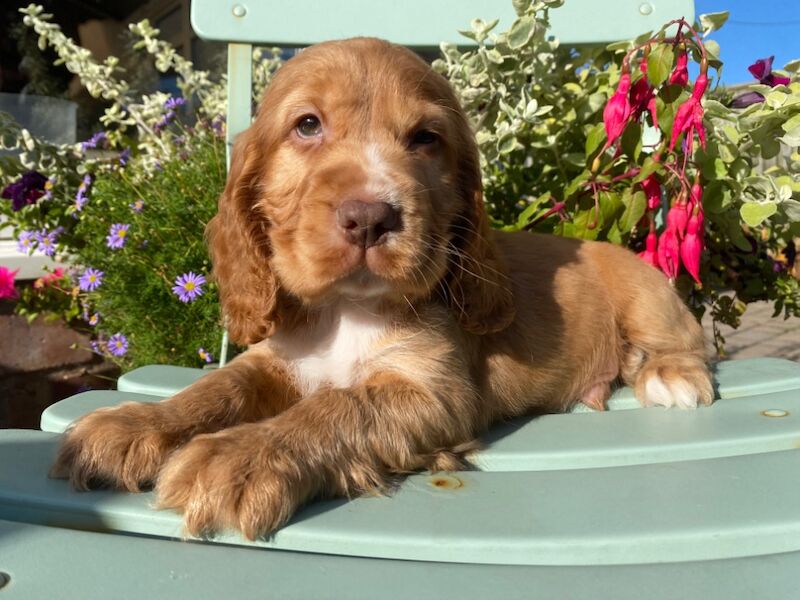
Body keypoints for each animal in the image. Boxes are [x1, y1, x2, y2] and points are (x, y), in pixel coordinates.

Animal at [51, 41, 712, 540]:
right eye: (307, 125)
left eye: (424, 138)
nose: (370, 216)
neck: (346, 310)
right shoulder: (277, 358)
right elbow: (217, 387)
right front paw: (136, 425)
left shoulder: (435, 392)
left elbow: (337, 405)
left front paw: (237, 457)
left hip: (646, 288)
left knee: (687, 341)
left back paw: (669, 376)